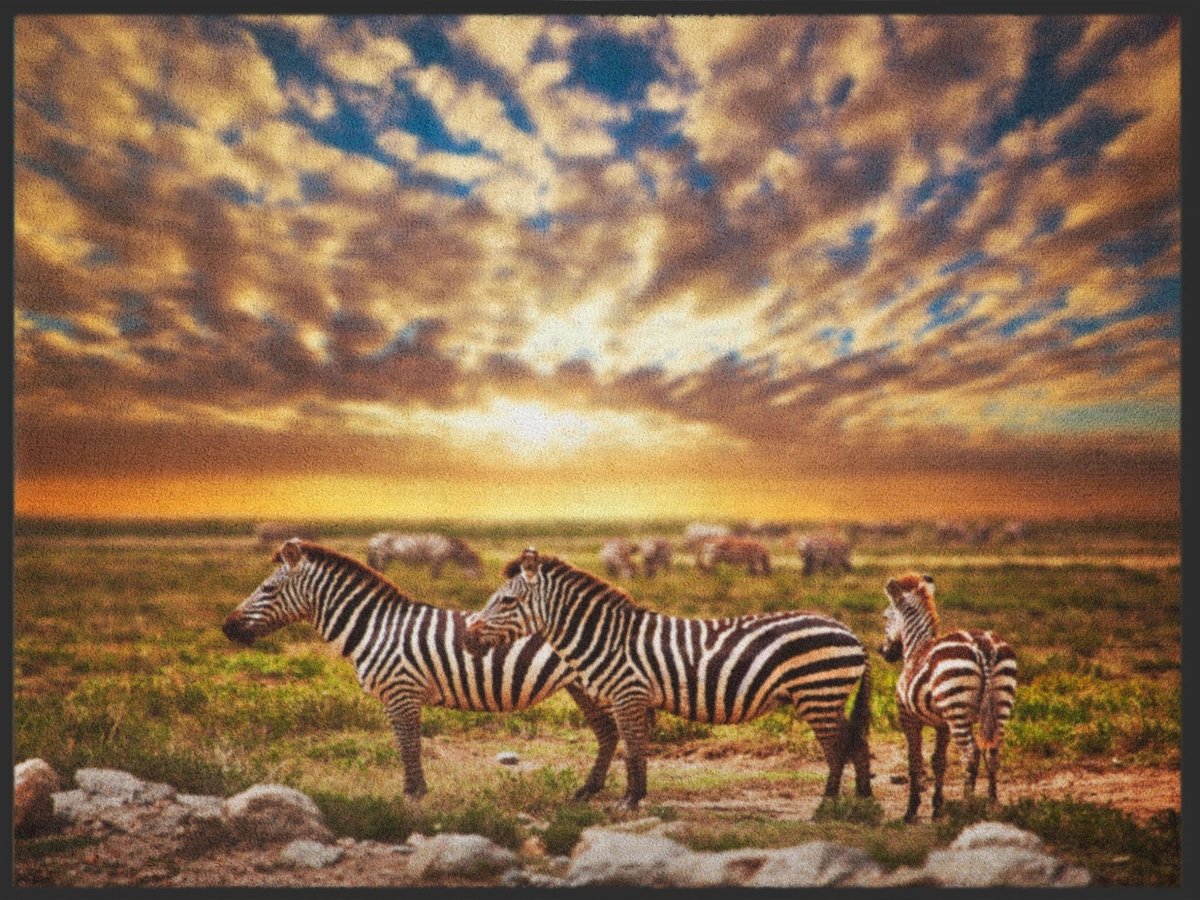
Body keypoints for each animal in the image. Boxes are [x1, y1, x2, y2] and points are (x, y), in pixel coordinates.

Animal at [222, 539, 622, 800]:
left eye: (268, 589)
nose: (227, 628)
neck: (374, 628)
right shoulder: (397, 695)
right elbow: (406, 744)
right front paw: (414, 790)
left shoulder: (402, 691)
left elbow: (408, 745)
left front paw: (414, 794)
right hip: (583, 686)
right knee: (608, 733)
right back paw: (589, 790)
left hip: (593, 684)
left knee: (611, 731)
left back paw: (589, 790)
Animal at [465, 548, 873, 810]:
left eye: (506, 602)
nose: (467, 638)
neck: (606, 637)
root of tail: (852, 634)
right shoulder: (632, 698)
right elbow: (635, 748)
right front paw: (636, 796)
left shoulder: (628, 694)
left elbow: (632, 748)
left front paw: (629, 801)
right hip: (826, 695)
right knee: (856, 742)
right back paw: (862, 800)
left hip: (816, 693)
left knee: (837, 746)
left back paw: (828, 802)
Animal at [879, 572, 1017, 823]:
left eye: (885, 617)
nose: (883, 652)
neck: (916, 646)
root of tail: (982, 644)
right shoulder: (942, 724)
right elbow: (938, 761)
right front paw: (936, 808)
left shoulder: (908, 718)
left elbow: (915, 761)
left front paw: (911, 811)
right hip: (1000, 703)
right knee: (992, 751)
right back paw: (992, 804)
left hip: (958, 710)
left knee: (971, 754)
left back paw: (967, 805)